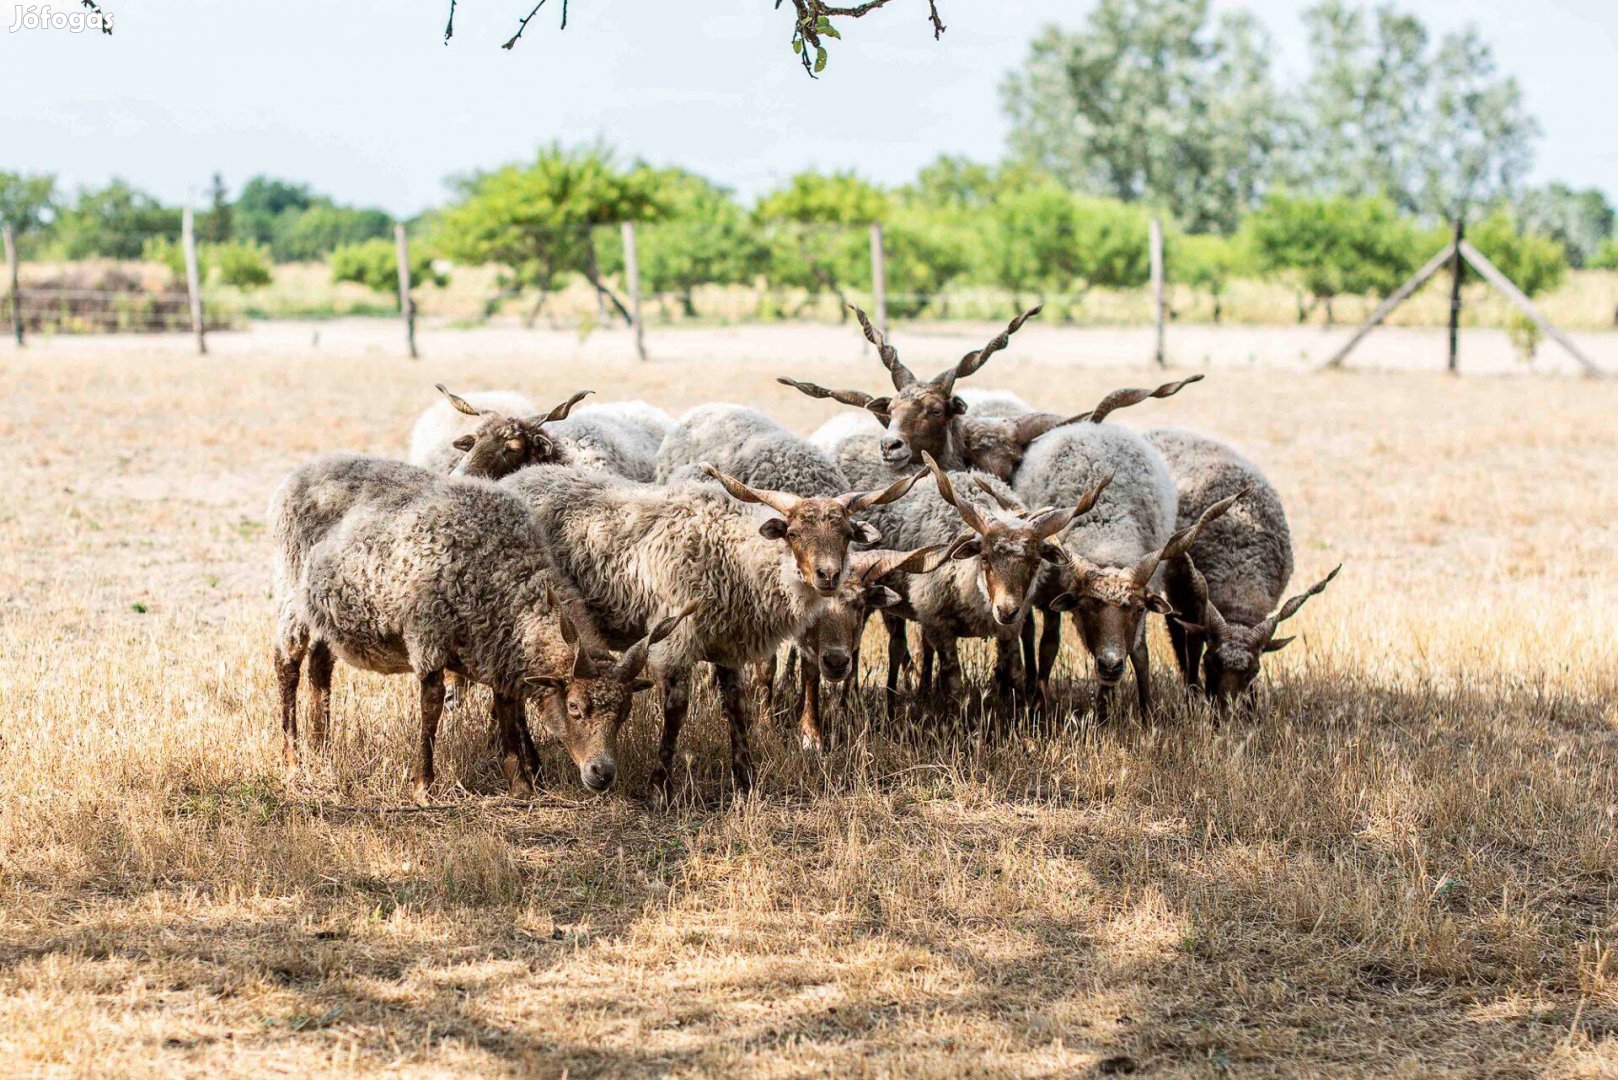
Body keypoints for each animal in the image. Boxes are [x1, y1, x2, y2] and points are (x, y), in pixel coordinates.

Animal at [1145, 427, 1346, 705]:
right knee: (1176, 632)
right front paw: (1193, 694)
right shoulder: (1188, 597)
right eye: (1210, 663)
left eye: (1255, 670)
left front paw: (1251, 704)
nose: (1226, 709)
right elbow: (1191, 645)